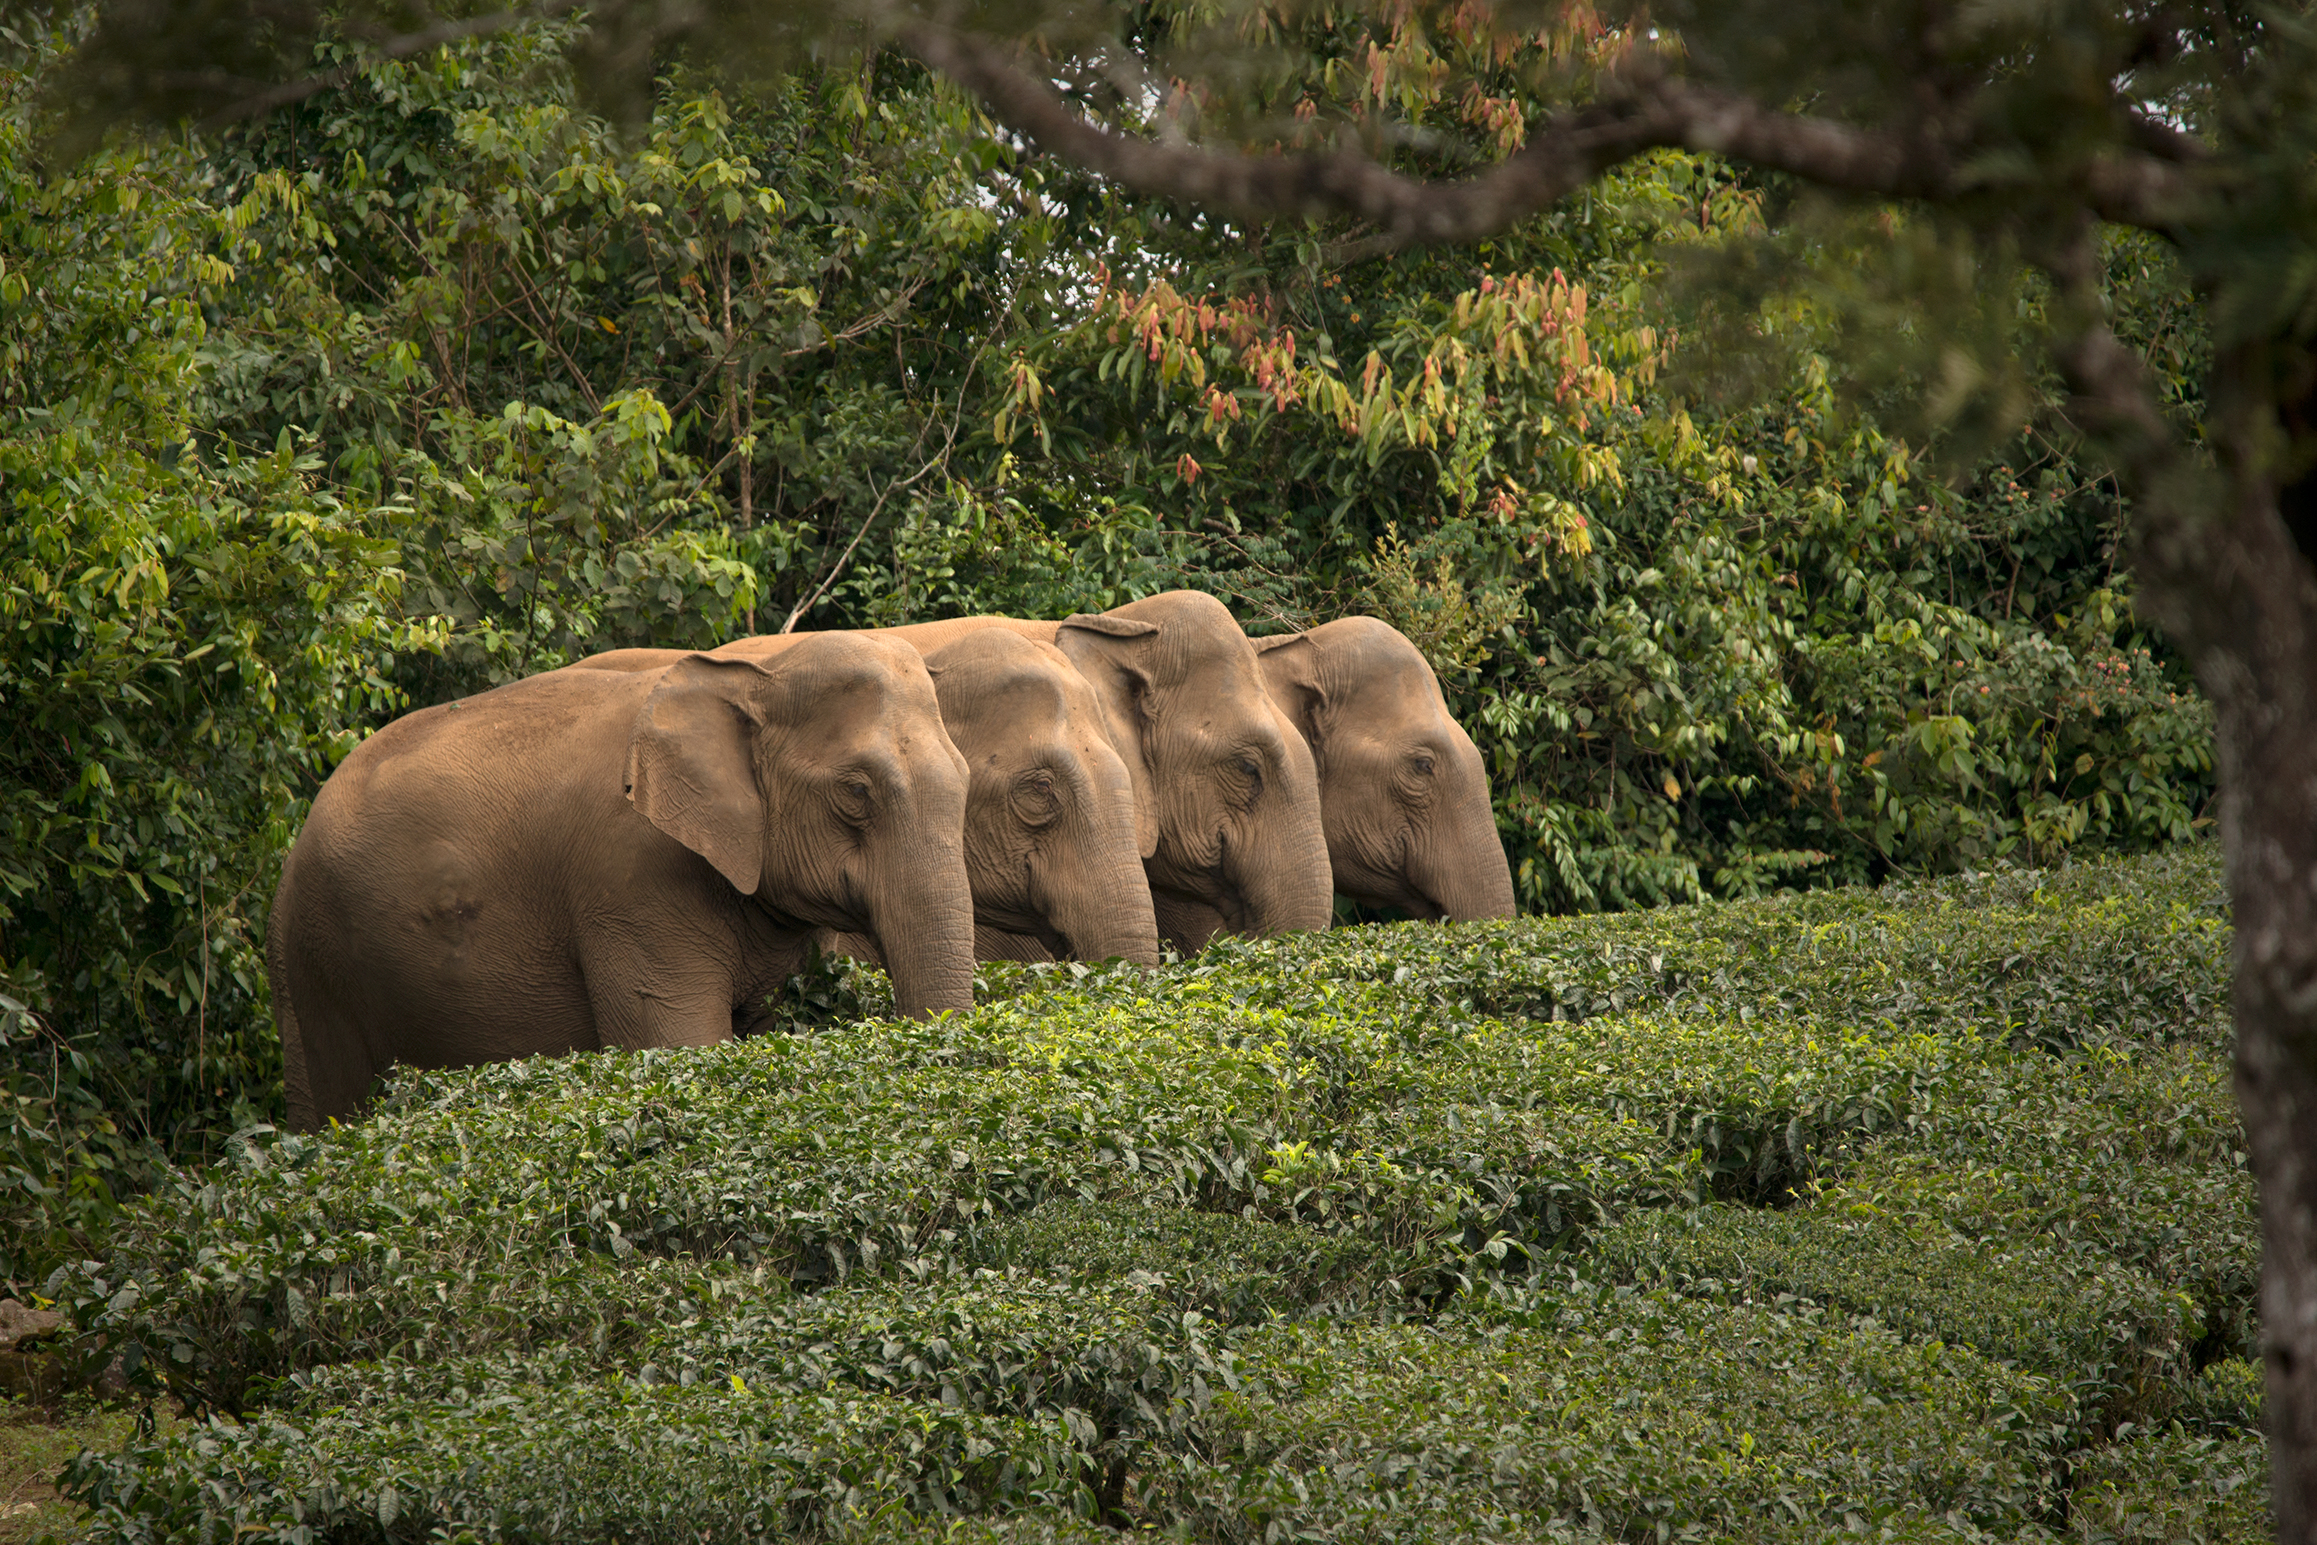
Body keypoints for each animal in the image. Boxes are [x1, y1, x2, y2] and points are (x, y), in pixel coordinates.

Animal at [268, 633, 977, 1129]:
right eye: (856, 793)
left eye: (968, 779)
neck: (756, 675)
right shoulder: (632, 885)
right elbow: (680, 1048)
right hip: (318, 961)